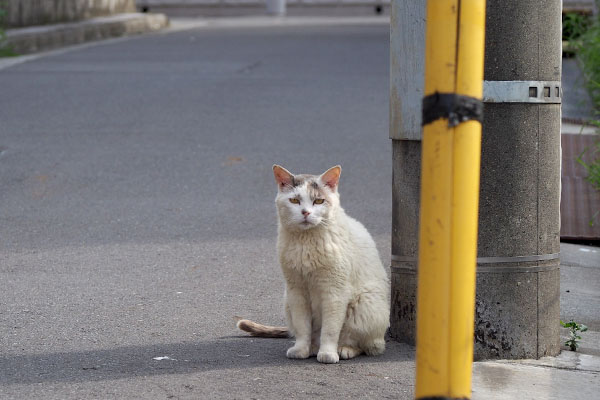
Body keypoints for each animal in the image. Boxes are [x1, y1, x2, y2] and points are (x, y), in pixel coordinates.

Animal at [237, 164, 392, 364]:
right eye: (294, 200)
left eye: (319, 201)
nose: (306, 213)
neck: (306, 242)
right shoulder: (296, 290)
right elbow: (302, 327)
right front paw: (301, 349)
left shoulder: (334, 292)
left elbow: (330, 329)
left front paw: (328, 353)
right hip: (287, 301)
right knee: (311, 334)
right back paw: (312, 348)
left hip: (365, 303)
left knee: (365, 344)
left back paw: (344, 349)